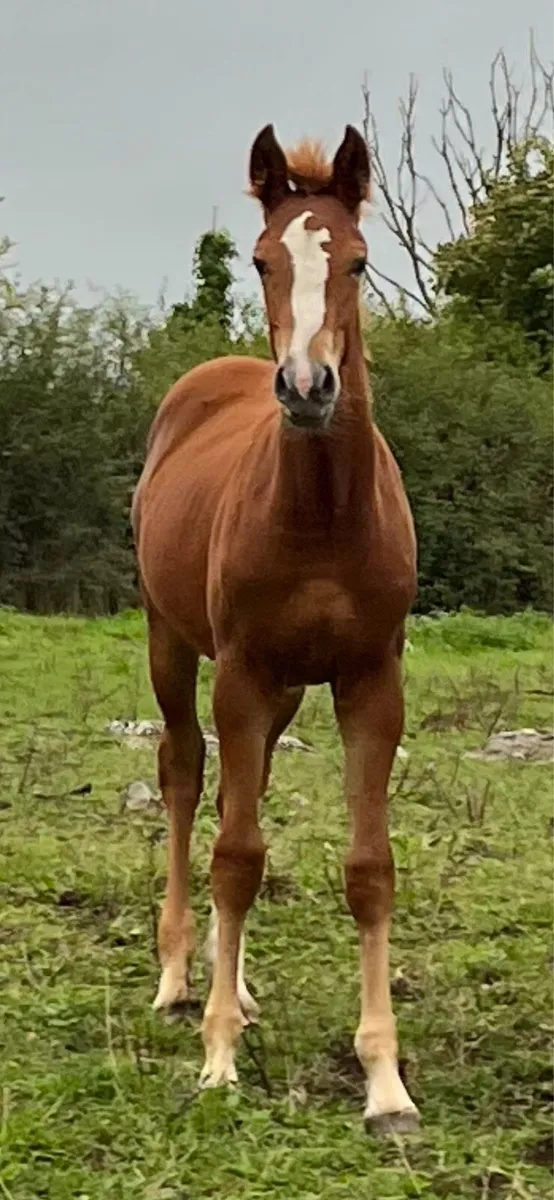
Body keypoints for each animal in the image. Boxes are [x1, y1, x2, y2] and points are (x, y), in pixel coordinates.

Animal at [132, 123, 419, 1134]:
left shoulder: (372, 679)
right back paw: (182, 980)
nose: (304, 388)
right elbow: (236, 856)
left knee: (231, 796)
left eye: (360, 261)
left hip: (289, 687)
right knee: (187, 781)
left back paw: (240, 988)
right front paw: (218, 1059)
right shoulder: (241, 671)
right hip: (176, 648)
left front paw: (385, 1081)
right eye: (261, 260)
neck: (325, 516)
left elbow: (367, 868)